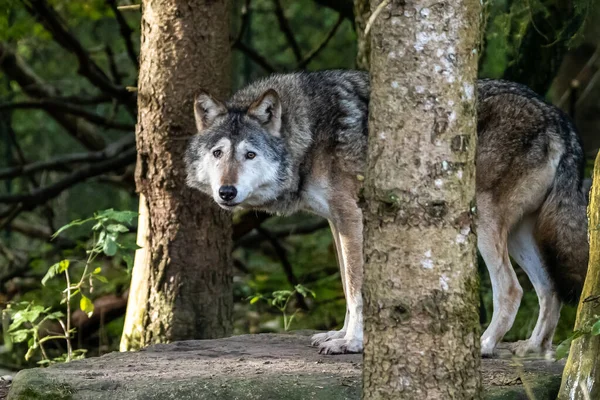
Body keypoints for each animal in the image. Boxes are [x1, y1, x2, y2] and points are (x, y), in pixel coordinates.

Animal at [188, 71, 592, 356]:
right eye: (218, 153)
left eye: (250, 154)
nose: (226, 192)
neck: (307, 132)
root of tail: (559, 117)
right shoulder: (336, 222)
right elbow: (348, 286)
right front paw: (340, 334)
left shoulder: (352, 217)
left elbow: (356, 290)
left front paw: (351, 344)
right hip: (521, 234)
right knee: (550, 288)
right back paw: (532, 348)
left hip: (484, 223)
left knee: (511, 288)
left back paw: (485, 345)